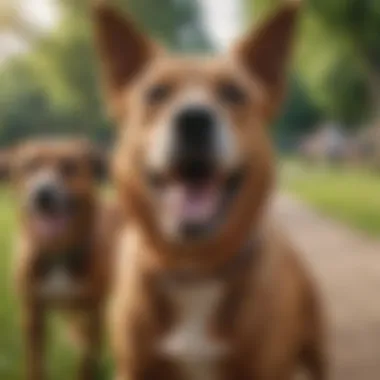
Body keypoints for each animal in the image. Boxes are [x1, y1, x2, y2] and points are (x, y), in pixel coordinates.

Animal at [12, 139, 117, 380]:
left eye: (69, 166)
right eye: (29, 166)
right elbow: (35, 365)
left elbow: (86, 364)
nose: (42, 193)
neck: (57, 252)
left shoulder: (92, 312)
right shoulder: (32, 313)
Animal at [93, 1, 328, 378]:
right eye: (155, 93)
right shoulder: (133, 368)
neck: (194, 268)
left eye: (234, 93)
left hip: (316, 348)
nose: (193, 120)